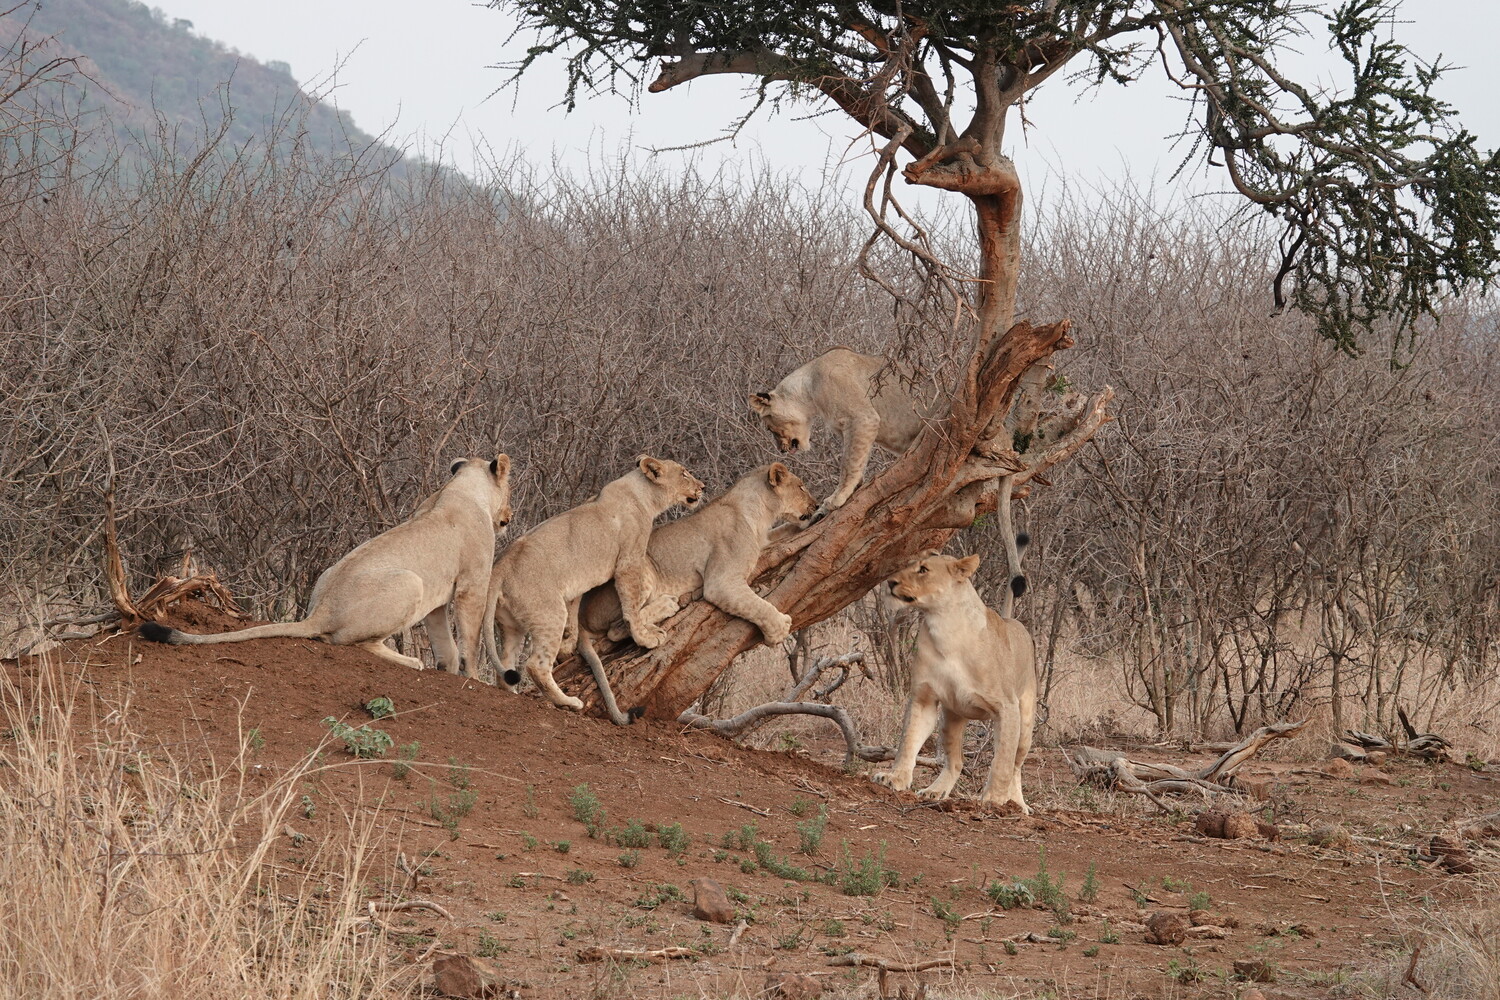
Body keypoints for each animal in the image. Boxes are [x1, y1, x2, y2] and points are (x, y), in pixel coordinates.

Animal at [138, 455, 513, 678]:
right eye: (509, 489)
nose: (509, 516)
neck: (460, 489)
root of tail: (320, 611)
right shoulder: (472, 586)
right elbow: (470, 638)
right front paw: (473, 678)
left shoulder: (439, 597)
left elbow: (444, 640)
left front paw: (447, 670)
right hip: (411, 582)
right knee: (354, 643)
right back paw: (410, 661)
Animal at [486, 455, 704, 712]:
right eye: (684, 474)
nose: (702, 487)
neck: (644, 494)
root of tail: (500, 566)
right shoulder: (629, 562)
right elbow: (631, 606)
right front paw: (645, 637)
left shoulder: (579, 584)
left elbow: (575, 612)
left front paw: (569, 644)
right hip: (549, 613)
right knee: (536, 665)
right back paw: (569, 701)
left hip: (511, 625)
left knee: (505, 664)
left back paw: (513, 692)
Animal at [570, 462, 818, 723]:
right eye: (801, 487)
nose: (815, 504)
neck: (759, 515)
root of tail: (581, 614)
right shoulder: (721, 582)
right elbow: (757, 606)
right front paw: (779, 629)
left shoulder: (765, 541)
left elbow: (789, 528)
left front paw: (820, 514)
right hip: (641, 567)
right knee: (620, 627)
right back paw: (670, 604)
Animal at [748, 347, 926, 516]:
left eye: (769, 428)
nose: (781, 450)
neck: (809, 389)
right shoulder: (843, 427)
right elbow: (855, 458)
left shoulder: (862, 418)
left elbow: (848, 463)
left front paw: (838, 497)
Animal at [872, 549, 1037, 813]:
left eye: (923, 569)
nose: (890, 582)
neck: (944, 627)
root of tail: (1012, 621)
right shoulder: (924, 698)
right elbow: (908, 739)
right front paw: (894, 778)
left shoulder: (1006, 707)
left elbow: (1002, 761)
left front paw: (994, 799)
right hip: (951, 716)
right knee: (956, 762)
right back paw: (935, 791)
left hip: (1025, 721)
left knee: (1016, 766)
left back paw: (1018, 804)